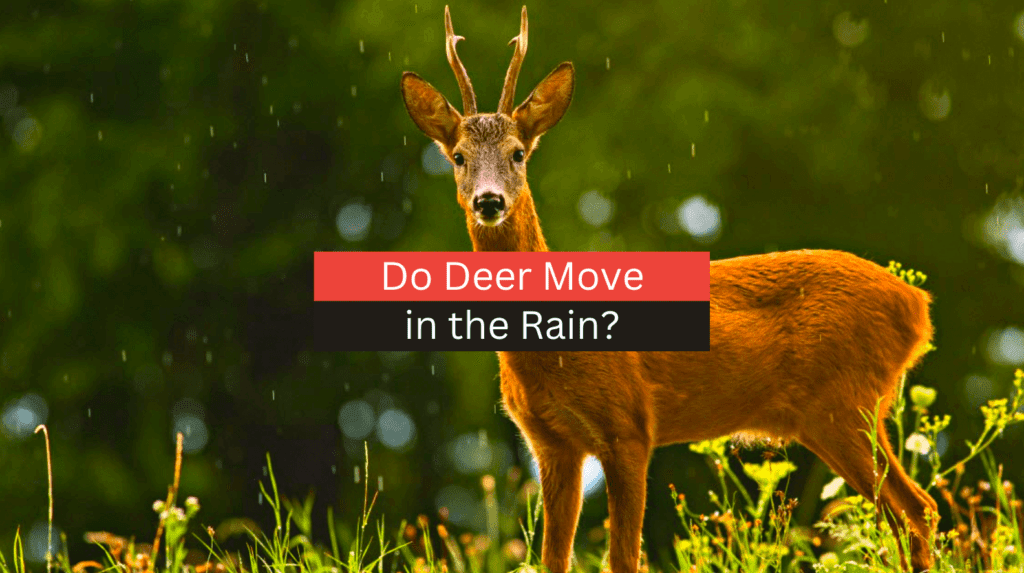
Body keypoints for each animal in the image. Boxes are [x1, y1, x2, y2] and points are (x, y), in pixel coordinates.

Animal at [400, 6, 938, 572]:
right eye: (458, 156)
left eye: (518, 153)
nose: (489, 201)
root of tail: (916, 304)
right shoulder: (551, 443)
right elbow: (553, 559)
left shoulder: (630, 426)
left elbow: (623, 558)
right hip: (845, 411)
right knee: (910, 512)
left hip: (844, 403)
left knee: (914, 510)